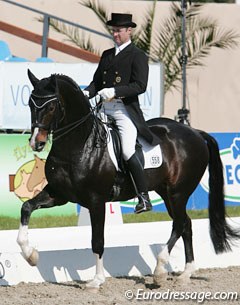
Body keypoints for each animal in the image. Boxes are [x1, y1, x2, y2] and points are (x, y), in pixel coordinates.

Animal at [16, 69, 238, 288]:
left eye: (52, 106)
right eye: (30, 104)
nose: (36, 142)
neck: (79, 145)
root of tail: (195, 132)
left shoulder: (96, 201)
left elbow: (97, 240)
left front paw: (97, 280)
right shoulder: (59, 194)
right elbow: (26, 207)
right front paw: (30, 256)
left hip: (179, 192)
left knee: (180, 223)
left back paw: (160, 271)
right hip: (167, 193)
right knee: (186, 224)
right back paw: (185, 274)